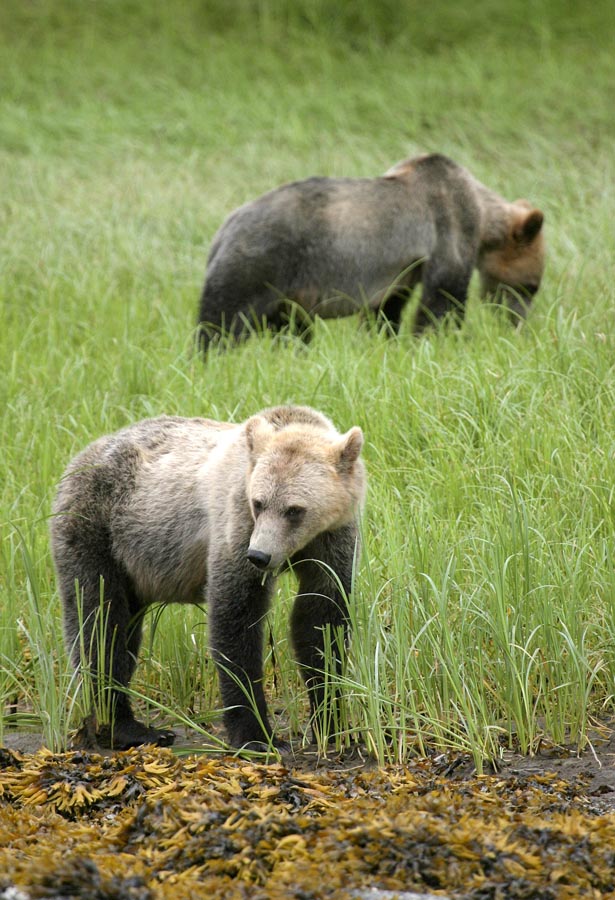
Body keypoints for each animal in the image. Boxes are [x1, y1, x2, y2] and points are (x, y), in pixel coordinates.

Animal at [51, 404, 366, 748]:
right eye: (259, 502)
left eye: (294, 509)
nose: (259, 556)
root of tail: (81, 454)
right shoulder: (236, 523)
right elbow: (237, 620)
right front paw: (258, 735)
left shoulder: (332, 540)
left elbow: (320, 620)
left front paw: (332, 722)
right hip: (97, 527)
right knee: (100, 622)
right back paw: (130, 726)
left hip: (130, 561)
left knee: (124, 628)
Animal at [196, 149, 544, 350]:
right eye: (531, 286)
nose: (519, 324)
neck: (484, 221)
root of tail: (224, 228)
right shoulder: (447, 227)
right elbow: (443, 298)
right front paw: (438, 339)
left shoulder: (402, 267)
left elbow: (388, 308)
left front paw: (384, 340)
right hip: (261, 262)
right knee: (223, 319)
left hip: (286, 290)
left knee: (292, 329)